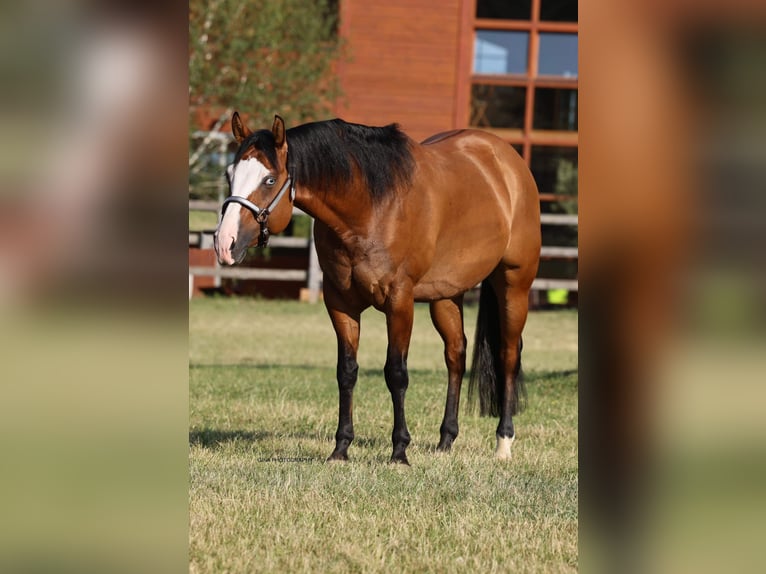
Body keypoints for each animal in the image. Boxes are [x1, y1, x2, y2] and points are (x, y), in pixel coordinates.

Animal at [213, 113, 544, 468]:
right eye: (229, 174)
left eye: (270, 180)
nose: (224, 242)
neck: (370, 206)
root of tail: (509, 161)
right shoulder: (340, 303)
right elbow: (346, 371)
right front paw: (341, 448)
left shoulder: (399, 302)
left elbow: (396, 373)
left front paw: (399, 451)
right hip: (445, 296)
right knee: (456, 356)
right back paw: (446, 441)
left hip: (513, 285)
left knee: (508, 356)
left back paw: (503, 442)